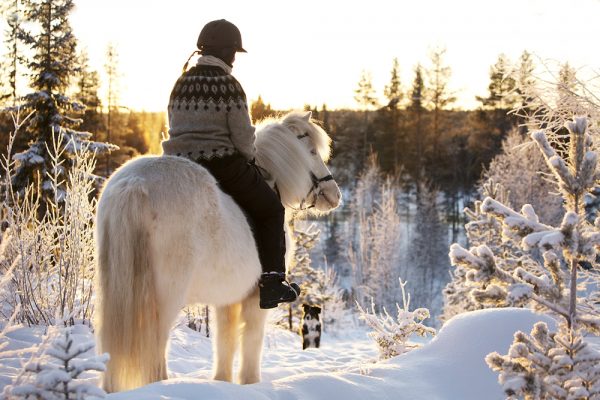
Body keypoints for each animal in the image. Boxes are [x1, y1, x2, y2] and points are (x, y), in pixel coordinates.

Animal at [95, 111, 342, 392]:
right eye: (312, 151)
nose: (335, 194)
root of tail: (135, 184)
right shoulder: (256, 298)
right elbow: (251, 342)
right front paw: (250, 382)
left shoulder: (227, 298)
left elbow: (225, 341)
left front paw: (222, 381)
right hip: (164, 298)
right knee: (155, 349)